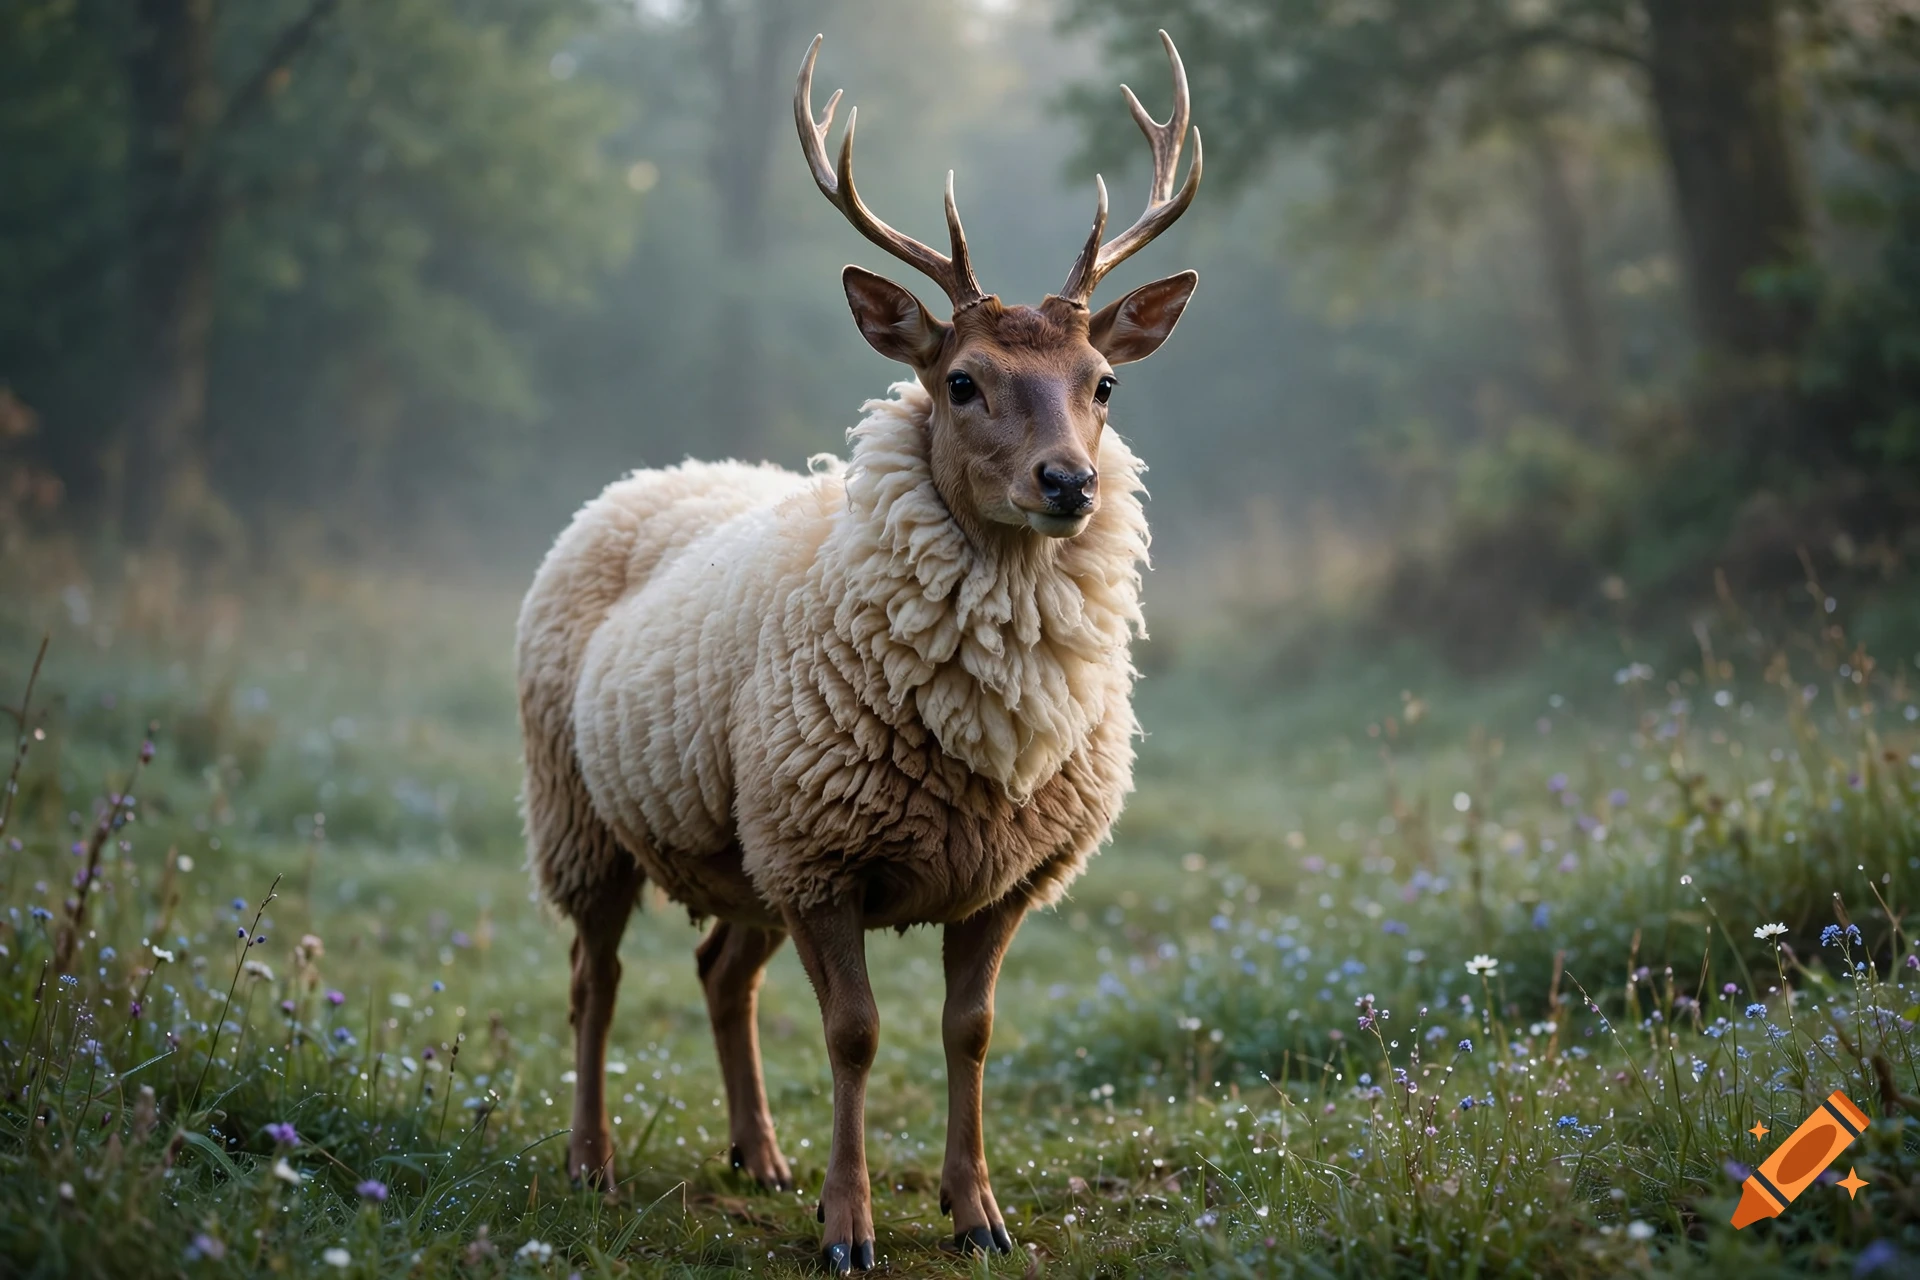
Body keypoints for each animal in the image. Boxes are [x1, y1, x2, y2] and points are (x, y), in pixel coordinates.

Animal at [515, 30, 1200, 1274]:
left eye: (1105, 383)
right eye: (962, 379)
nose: (1069, 482)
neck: (992, 752)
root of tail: (644, 477)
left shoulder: (1002, 868)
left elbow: (970, 1028)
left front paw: (976, 1211)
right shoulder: (822, 853)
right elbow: (855, 1033)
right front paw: (849, 1226)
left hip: (739, 845)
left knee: (716, 969)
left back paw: (759, 1152)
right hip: (580, 809)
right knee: (596, 975)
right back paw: (592, 1159)